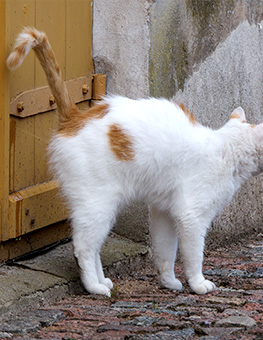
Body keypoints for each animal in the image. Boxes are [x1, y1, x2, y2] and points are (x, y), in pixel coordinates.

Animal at [6, 27, 263, 296]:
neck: (226, 150)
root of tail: (75, 117)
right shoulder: (192, 217)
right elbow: (193, 256)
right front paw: (198, 283)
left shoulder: (164, 212)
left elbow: (165, 252)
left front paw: (168, 282)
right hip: (98, 204)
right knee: (83, 246)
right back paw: (94, 287)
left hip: (104, 208)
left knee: (94, 246)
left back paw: (103, 280)